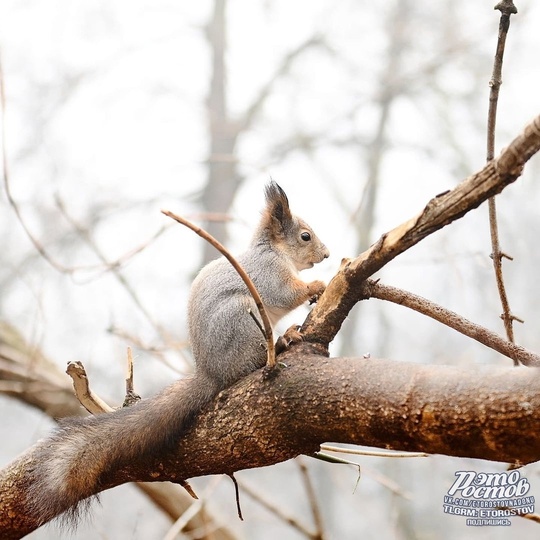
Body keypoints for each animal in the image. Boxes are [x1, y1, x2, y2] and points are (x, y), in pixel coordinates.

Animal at [26, 180, 330, 524]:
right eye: (305, 236)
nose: (327, 254)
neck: (275, 252)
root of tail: (212, 373)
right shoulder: (270, 275)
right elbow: (287, 293)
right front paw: (317, 286)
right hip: (242, 321)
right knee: (252, 362)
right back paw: (281, 342)